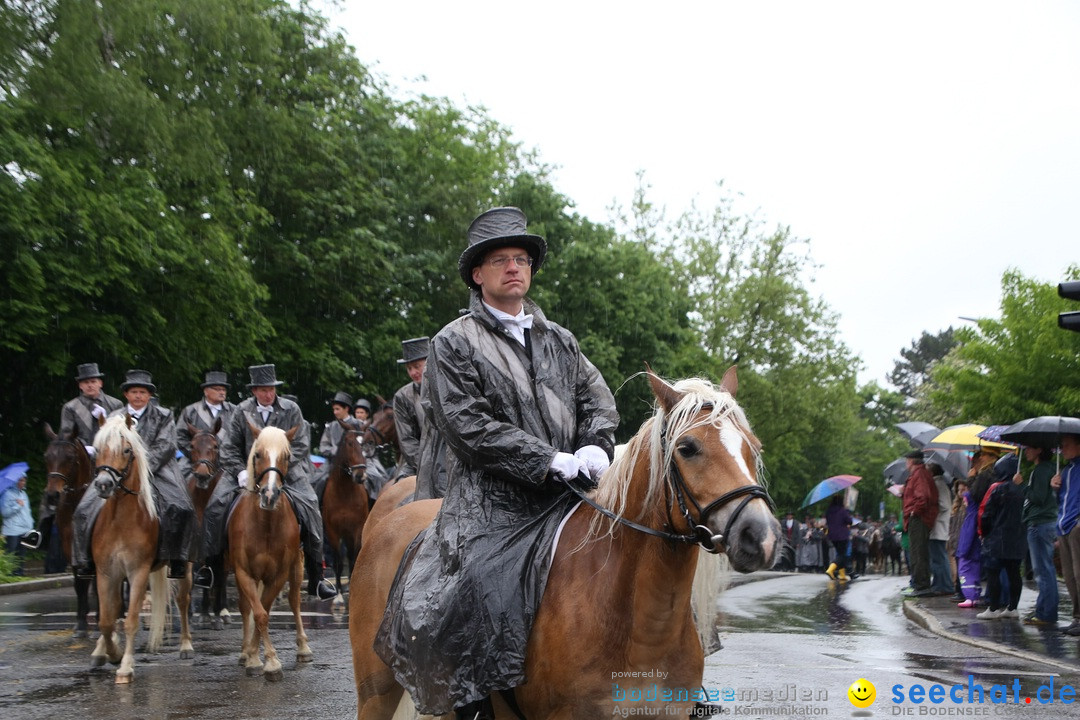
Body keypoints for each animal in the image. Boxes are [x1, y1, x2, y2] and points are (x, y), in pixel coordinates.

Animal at [88, 414, 170, 686]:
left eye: (126, 450)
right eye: (98, 450)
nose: (103, 484)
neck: (121, 521)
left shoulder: (138, 572)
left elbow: (131, 620)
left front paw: (125, 666)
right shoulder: (105, 573)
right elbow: (106, 619)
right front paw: (111, 652)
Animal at [225, 425, 311, 677]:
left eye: (287, 456)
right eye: (257, 454)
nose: (270, 495)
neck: (265, 525)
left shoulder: (278, 574)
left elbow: (266, 609)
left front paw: (266, 659)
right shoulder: (244, 572)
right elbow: (259, 612)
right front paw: (258, 658)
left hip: (297, 565)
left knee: (294, 601)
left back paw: (303, 648)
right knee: (246, 608)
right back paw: (245, 652)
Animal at [317, 418, 369, 600]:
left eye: (365, 443)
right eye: (349, 443)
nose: (360, 475)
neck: (345, 492)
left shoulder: (357, 529)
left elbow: (353, 559)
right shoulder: (332, 530)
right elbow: (338, 561)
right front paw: (339, 593)